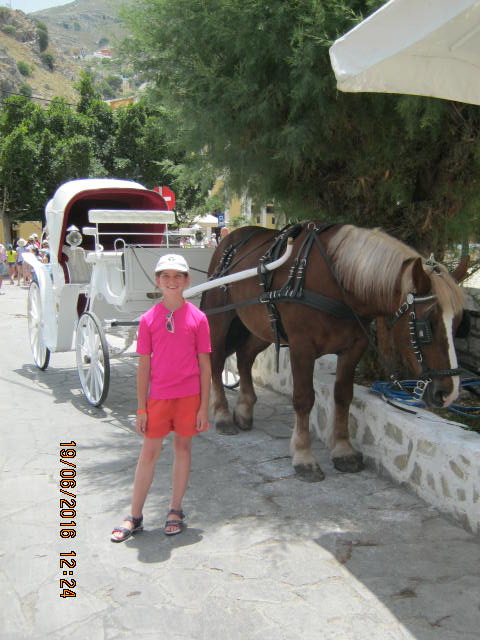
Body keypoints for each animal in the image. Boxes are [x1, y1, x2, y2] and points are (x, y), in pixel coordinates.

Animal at [201, 224, 466, 480]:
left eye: (459, 323)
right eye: (426, 324)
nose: (449, 393)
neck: (337, 281)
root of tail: (230, 239)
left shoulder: (353, 349)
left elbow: (343, 396)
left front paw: (342, 451)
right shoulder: (301, 347)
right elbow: (304, 399)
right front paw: (303, 456)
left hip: (261, 326)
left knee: (245, 357)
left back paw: (244, 410)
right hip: (220, 317)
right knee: (216, 362)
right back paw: (223, 415)